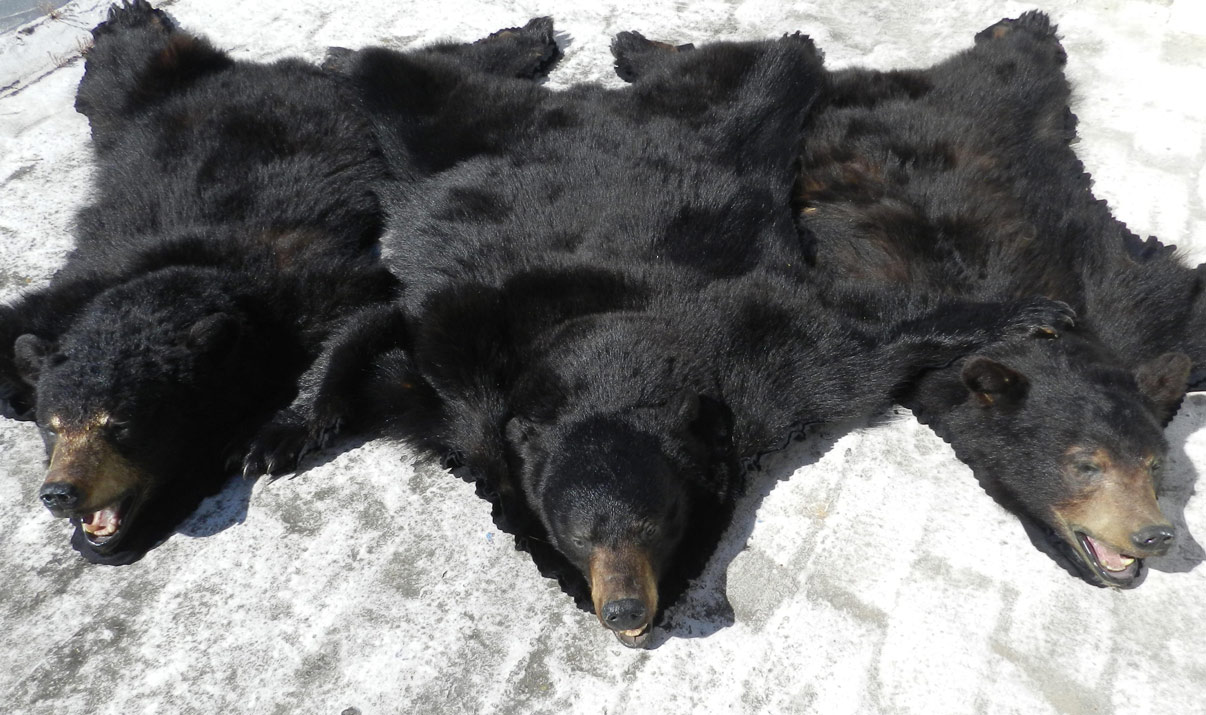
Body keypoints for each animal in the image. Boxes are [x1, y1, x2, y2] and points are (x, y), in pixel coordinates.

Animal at [0, 0, 562, 565]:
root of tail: (263, 69)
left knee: (429, 77)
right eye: (53, 427)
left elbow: (368, 309)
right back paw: (130, 19)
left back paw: (527, 37)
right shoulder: (83, 284)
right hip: (137, 105)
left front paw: (272, 435)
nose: (60, 493)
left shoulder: (297, 280)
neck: (194, 270)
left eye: (122, 425)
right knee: (119, 76)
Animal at [244, 30, 1073, 646]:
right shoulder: (460, 371)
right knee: (395, 80)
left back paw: (641, 47)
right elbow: (382, 332)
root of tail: (591, 108)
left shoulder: (770, 365)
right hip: (449, 138)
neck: (598, 351)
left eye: (655, 523)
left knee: (773, 66)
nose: (623, 609)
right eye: (578, 533)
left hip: (721, 127)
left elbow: (867, 341)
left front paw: (1032, 313)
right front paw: (285, 429)